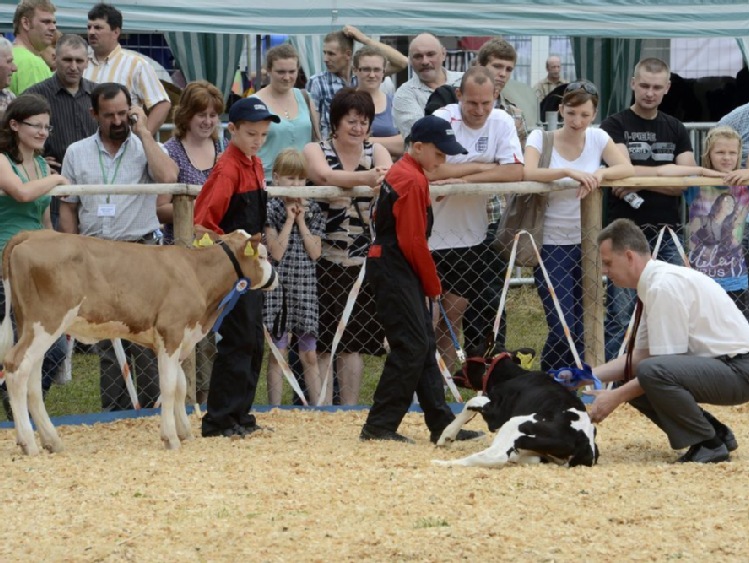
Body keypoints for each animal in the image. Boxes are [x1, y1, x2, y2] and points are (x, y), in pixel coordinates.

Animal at [432, 352, 596, 468]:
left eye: (467, 363)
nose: (453, 374)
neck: (514, 375)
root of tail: (584, 442)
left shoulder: (497, 416)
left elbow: (472, 402)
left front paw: (446, 435)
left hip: (514, 424)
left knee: (496, 457)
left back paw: (443, 463)